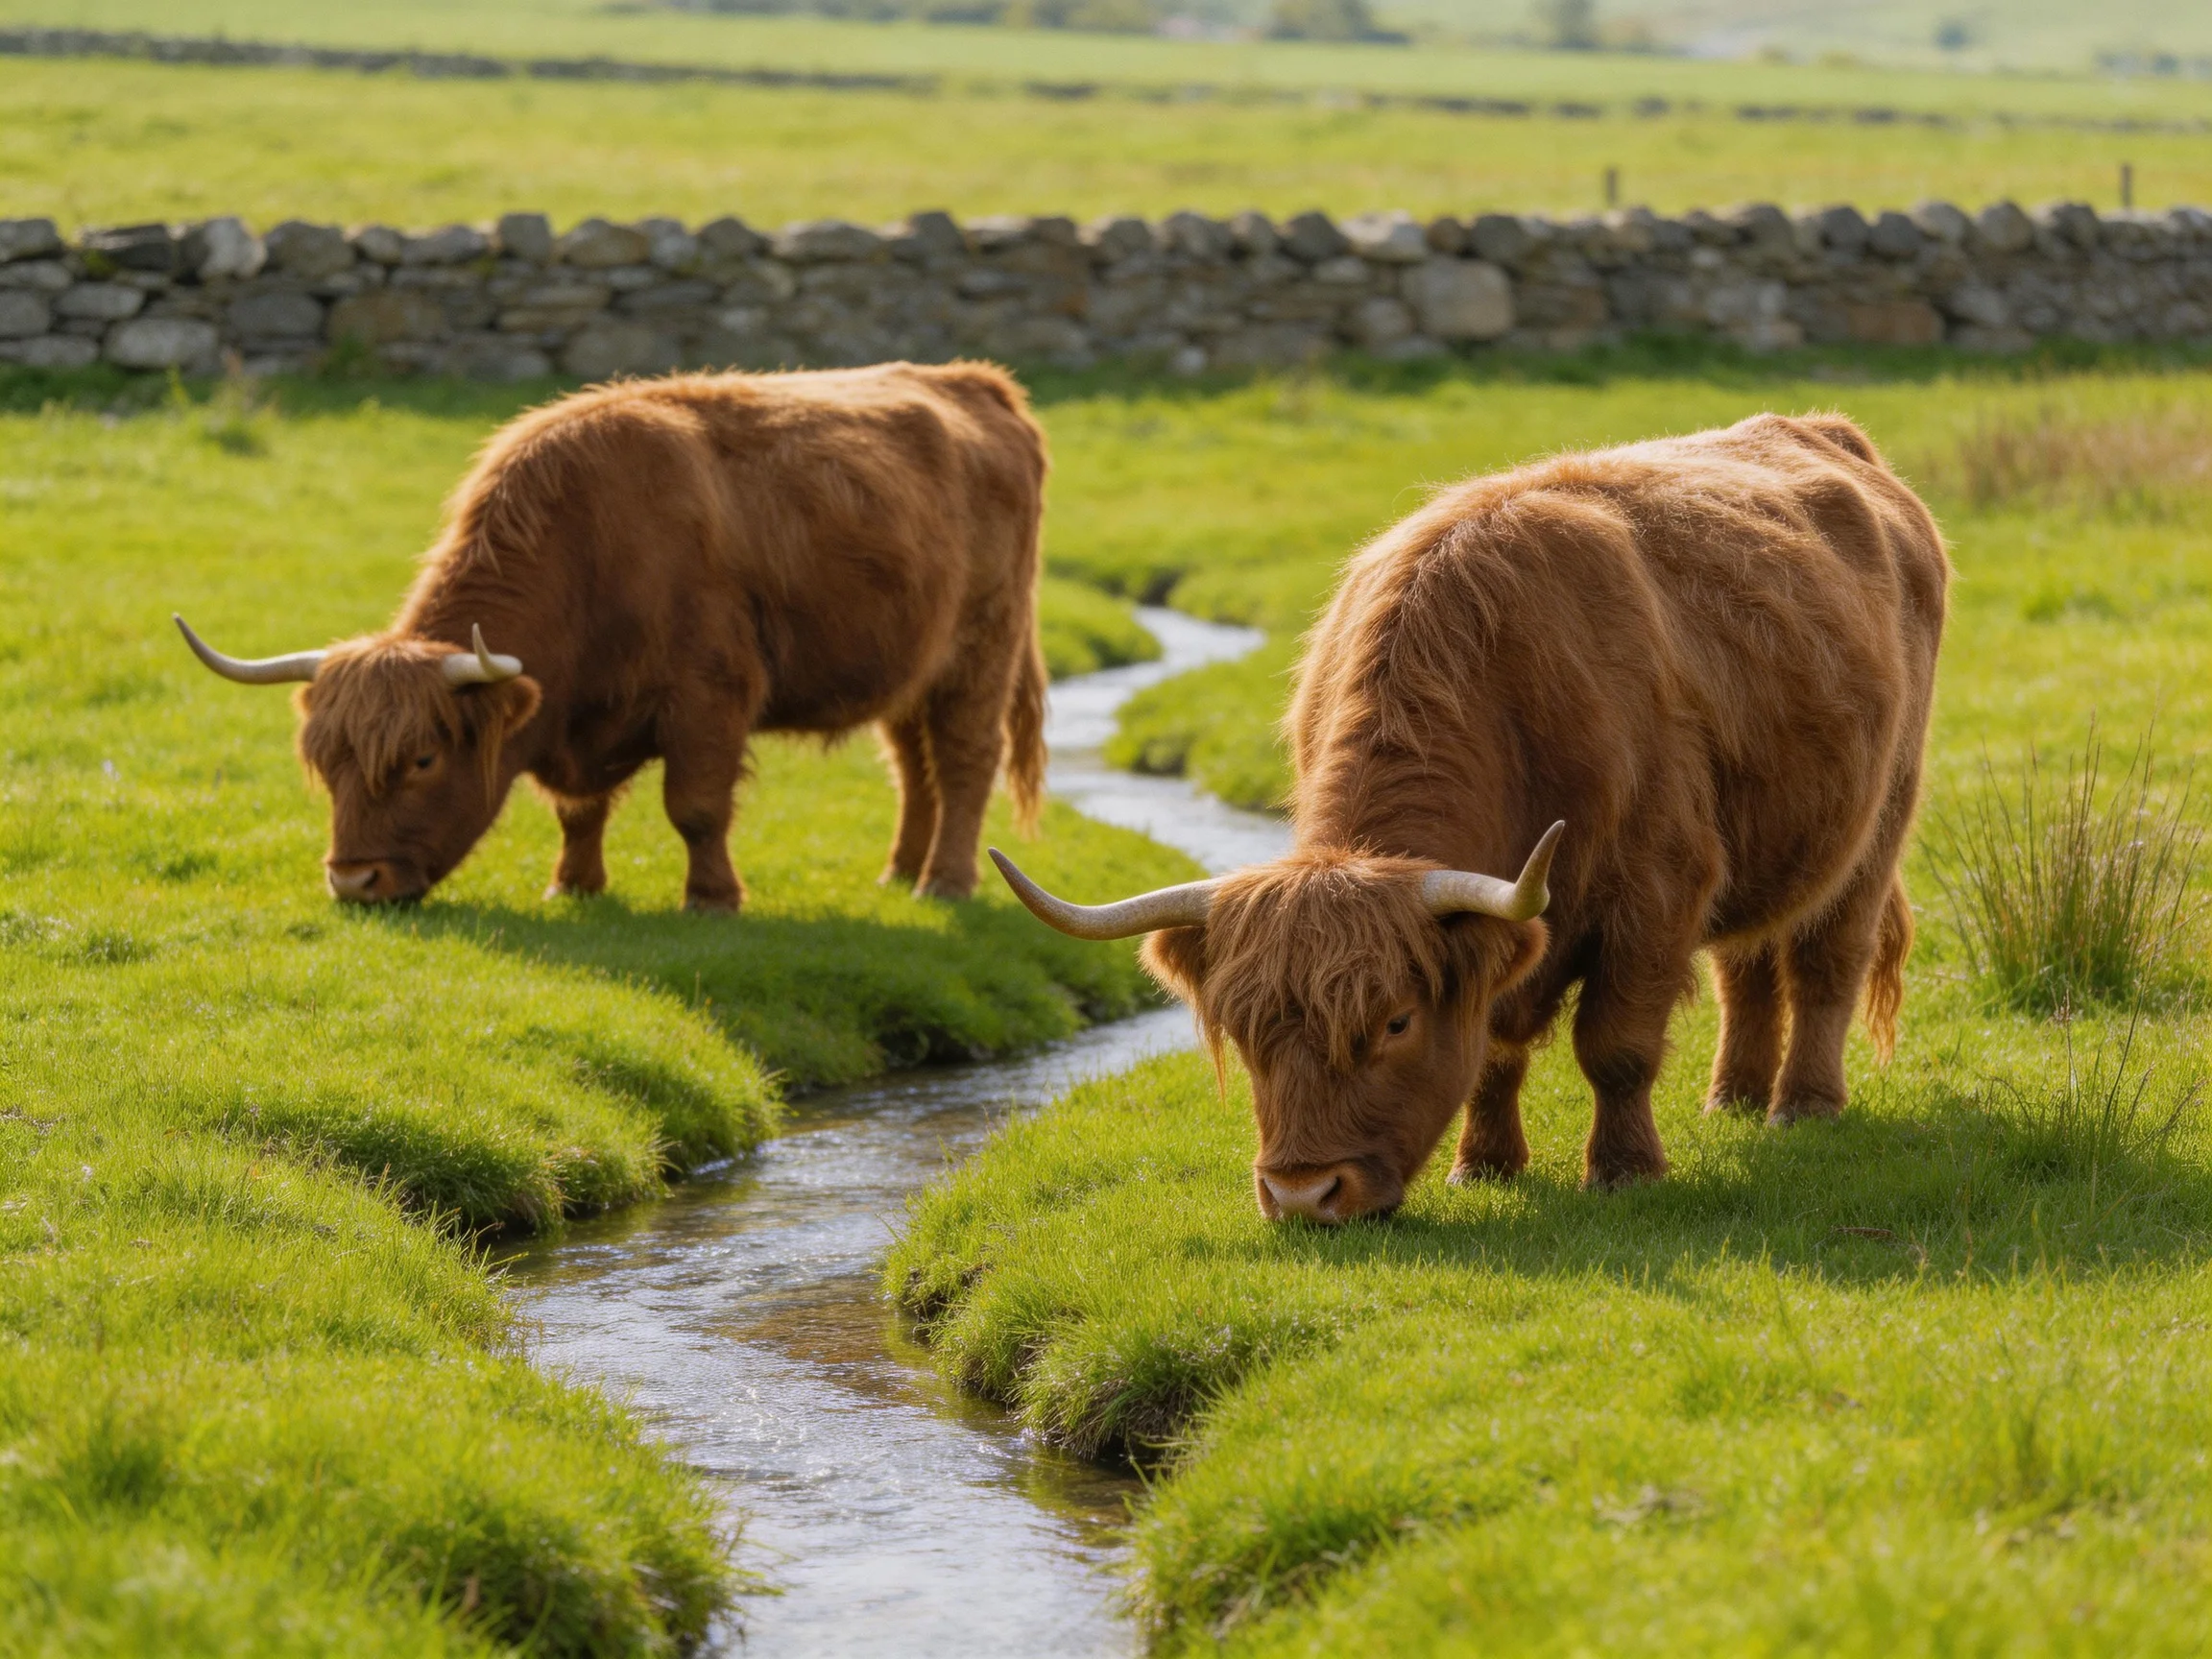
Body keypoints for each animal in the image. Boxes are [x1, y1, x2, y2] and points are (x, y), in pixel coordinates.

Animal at [176, 362, 1051, 911]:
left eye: (422, 760)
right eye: (326, 762)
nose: (355, 882)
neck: (589, 549)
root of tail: (977, 382)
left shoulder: (710, 695)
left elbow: (694, 806)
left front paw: (711, 898)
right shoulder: (580, 716)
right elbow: (578, 809)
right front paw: (574, 884)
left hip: (982, 649)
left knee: (965, 761)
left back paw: (945, 882)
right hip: (911, 665)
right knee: (913, 767)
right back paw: (899, 872)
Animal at [993, 413, 1948, 1222]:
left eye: (1394, 1022)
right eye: (1246, 1028)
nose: (1303, 1195)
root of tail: (1825, 432)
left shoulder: (1658, 888)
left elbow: (1617, 1045)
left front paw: (1625, 1171)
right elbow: (1491, 1047)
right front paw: (1485, 1165)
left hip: (1882, 813)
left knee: (1827, 958)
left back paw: (1802, 1107)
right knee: (1746, 966)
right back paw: (1733, 1100)